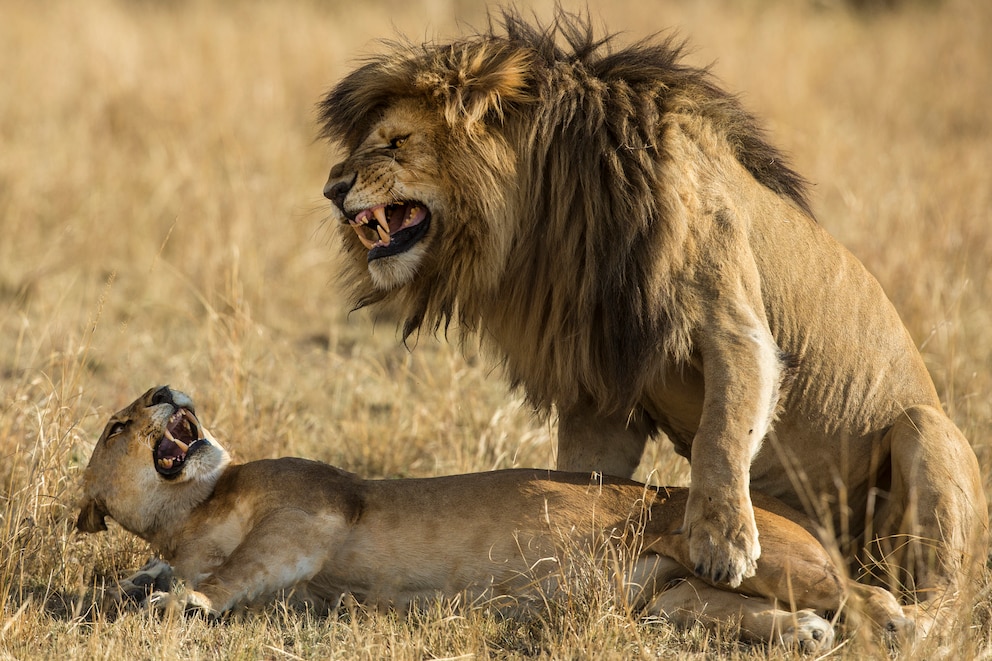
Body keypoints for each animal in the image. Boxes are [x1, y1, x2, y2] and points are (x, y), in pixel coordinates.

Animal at [79, 384, 916, 648]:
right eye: (117, 424)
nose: (165, 389)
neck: (195, 511)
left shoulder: (313, 507)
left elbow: (243, 563)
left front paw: (188, 600)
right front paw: (143, 583)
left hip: (747, 546)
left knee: (869, 593)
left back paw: (905, 624)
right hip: (673, 596)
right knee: (738, 609)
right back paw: (805, 635)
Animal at [318, 9, 984, 628]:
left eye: (396, 142)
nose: (332, 187)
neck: (555, 209)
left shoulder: (732, 322)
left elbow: (723, 430)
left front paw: (722, 543)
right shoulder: (599, 383)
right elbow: (583, 475)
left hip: (925, 430)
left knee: (941, 590)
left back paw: (915, 620)